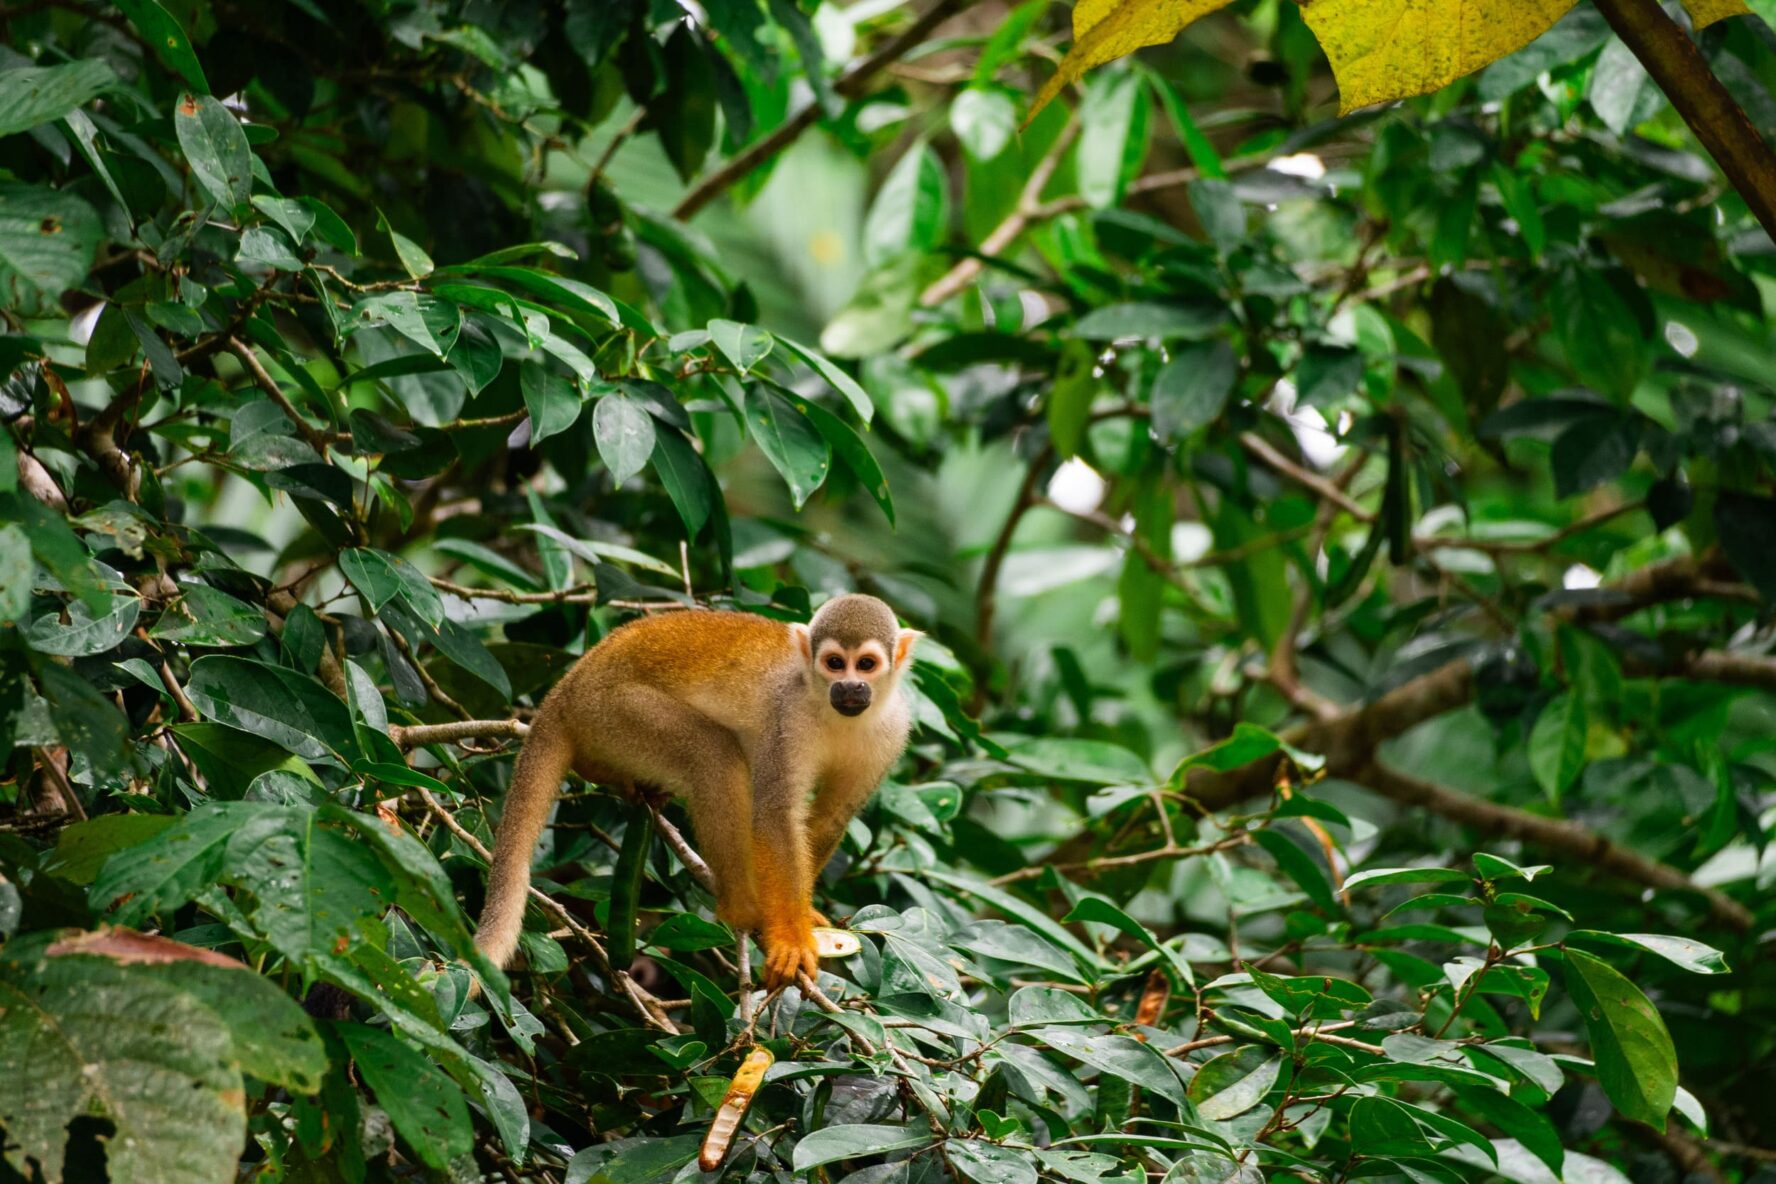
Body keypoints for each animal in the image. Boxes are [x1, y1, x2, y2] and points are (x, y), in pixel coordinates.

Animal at [474, 593, 920, 989]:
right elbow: (775, 817)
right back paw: (740, 907)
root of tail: (567, 686)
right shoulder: (787, 718)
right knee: (713, 756)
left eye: (866, 664)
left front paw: (803, 914)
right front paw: (791, 938)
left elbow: (830, 817)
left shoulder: (893, 730)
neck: (835, 716)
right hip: (614, 711)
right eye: (834, 663)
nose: (849, 688)